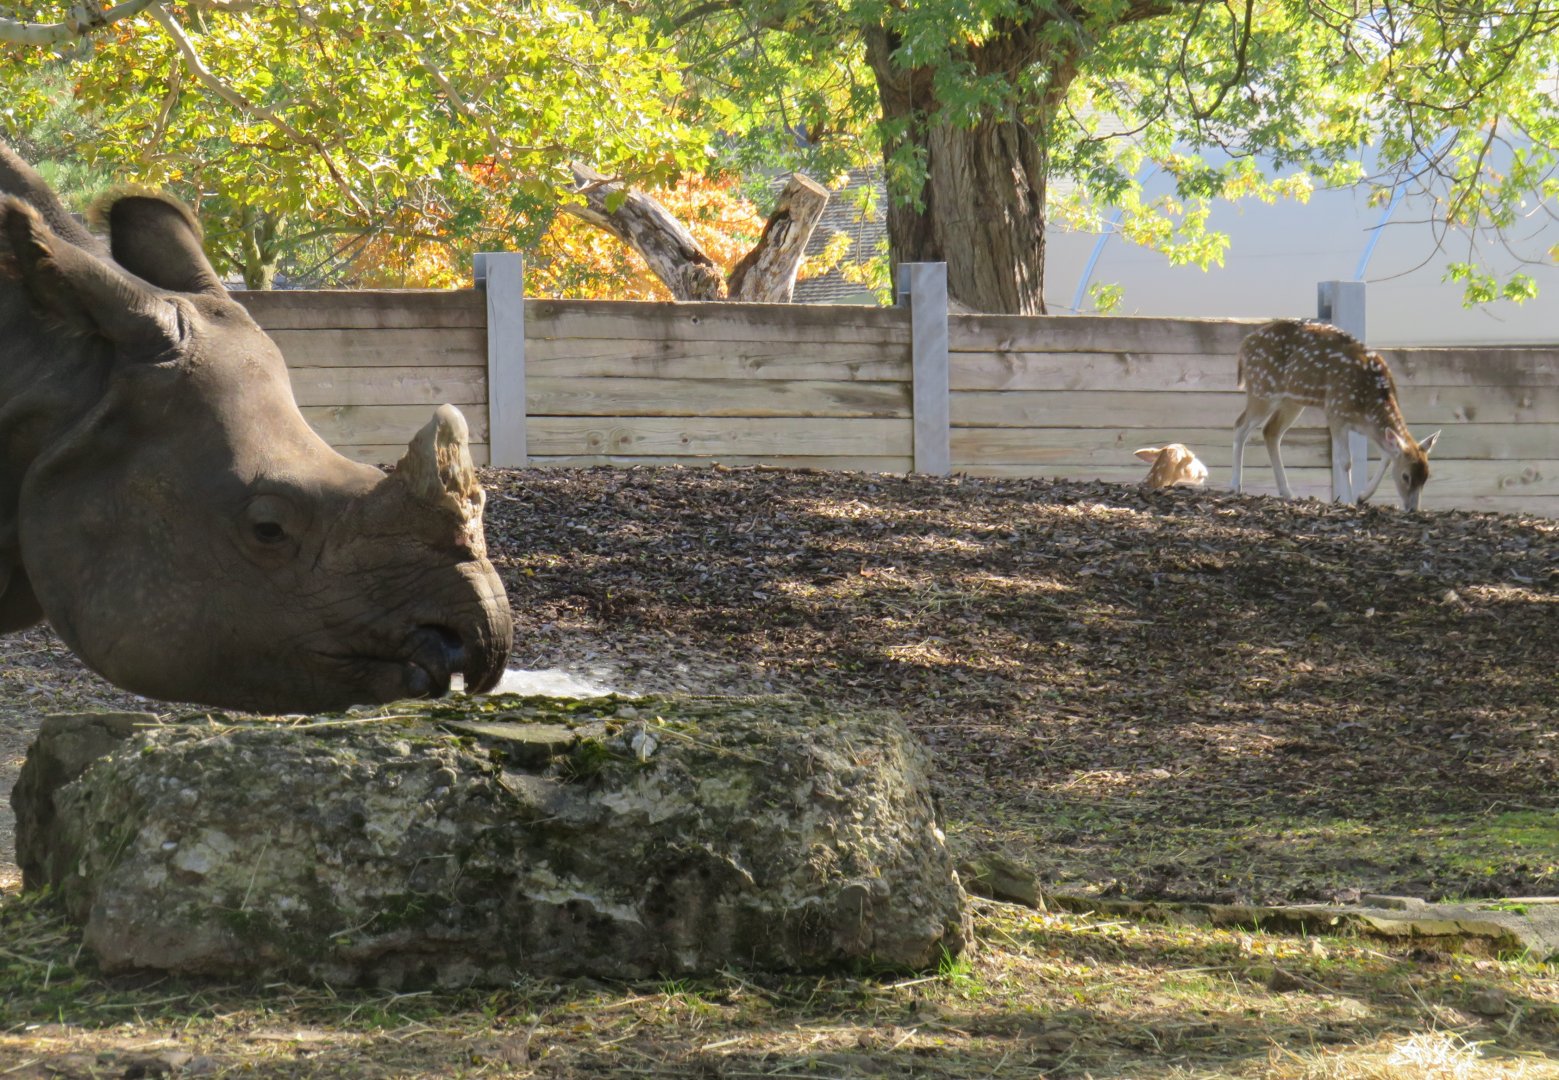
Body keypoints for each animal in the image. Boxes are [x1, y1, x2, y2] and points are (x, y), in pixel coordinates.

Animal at [1231, 319, 1441, 510]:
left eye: (1426, 476)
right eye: (1406, 476)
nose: (1413, 509)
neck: (1369, 399)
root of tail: (1244, 346)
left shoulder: (1366, 426)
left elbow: (1386, 455)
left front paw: (1362, 496)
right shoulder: (1336, 411)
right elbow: (1345, 460)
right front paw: (1348, 501)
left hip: (1291, 401)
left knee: (1270, 431)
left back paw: (1287, 492)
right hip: (1262, 388)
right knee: (1240, 425)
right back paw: (1235, 487)